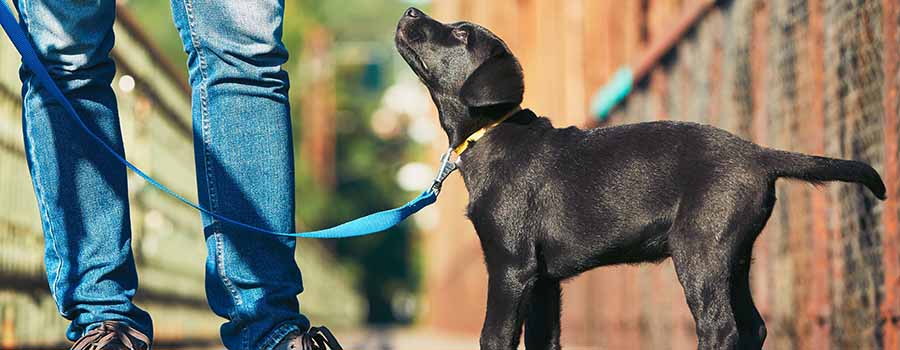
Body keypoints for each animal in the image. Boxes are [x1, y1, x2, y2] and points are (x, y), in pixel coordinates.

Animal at [396, 6, 884, 350]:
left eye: (461, 34)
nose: (411, 11)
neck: (491, 132)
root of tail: (759, 154)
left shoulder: (510, 267)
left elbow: (494, 337)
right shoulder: (544, 282)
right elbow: (543, 340)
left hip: (698, 249)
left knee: (720, 328)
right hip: (734, 255)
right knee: (754, 328)